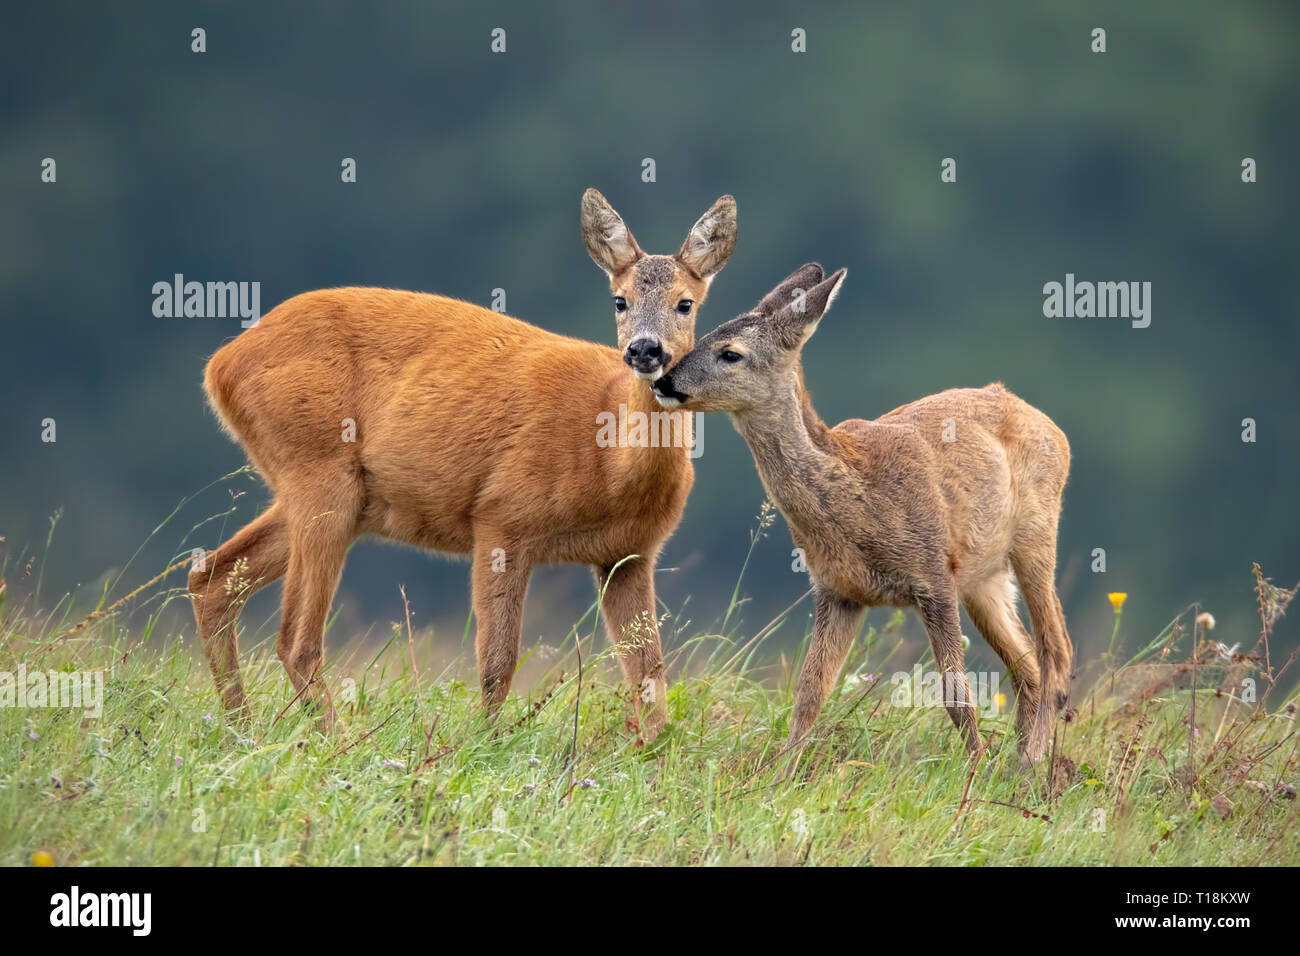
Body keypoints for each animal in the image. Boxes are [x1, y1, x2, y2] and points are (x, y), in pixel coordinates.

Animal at [189, 188, 743, 738]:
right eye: (620, 300)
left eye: (685, 303)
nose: (644, 349)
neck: (610, 466)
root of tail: (219, 366)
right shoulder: (502, 516)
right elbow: (498, 661)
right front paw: (486, 743)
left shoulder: (628, 554)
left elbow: (651, 675)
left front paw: (652, 749)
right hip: (318, 469)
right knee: (294, 637)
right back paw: (332, 741)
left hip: (334, 493)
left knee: (211, 578)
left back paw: (240, 727)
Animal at [655, 264, 1071, 764]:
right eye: (702, 332)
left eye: (730, 353)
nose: (661, 381)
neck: (857, 497)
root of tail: (1048, 422)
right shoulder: (838, 590)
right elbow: (809, 694)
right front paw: (780, 772)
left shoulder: (933, 574)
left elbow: (955, 694)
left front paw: (971, 769)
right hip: (983, 576)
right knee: (1027, 664)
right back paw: (1019, 764)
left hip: (1037, 531)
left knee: (1056, 652)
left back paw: (1029, 761)